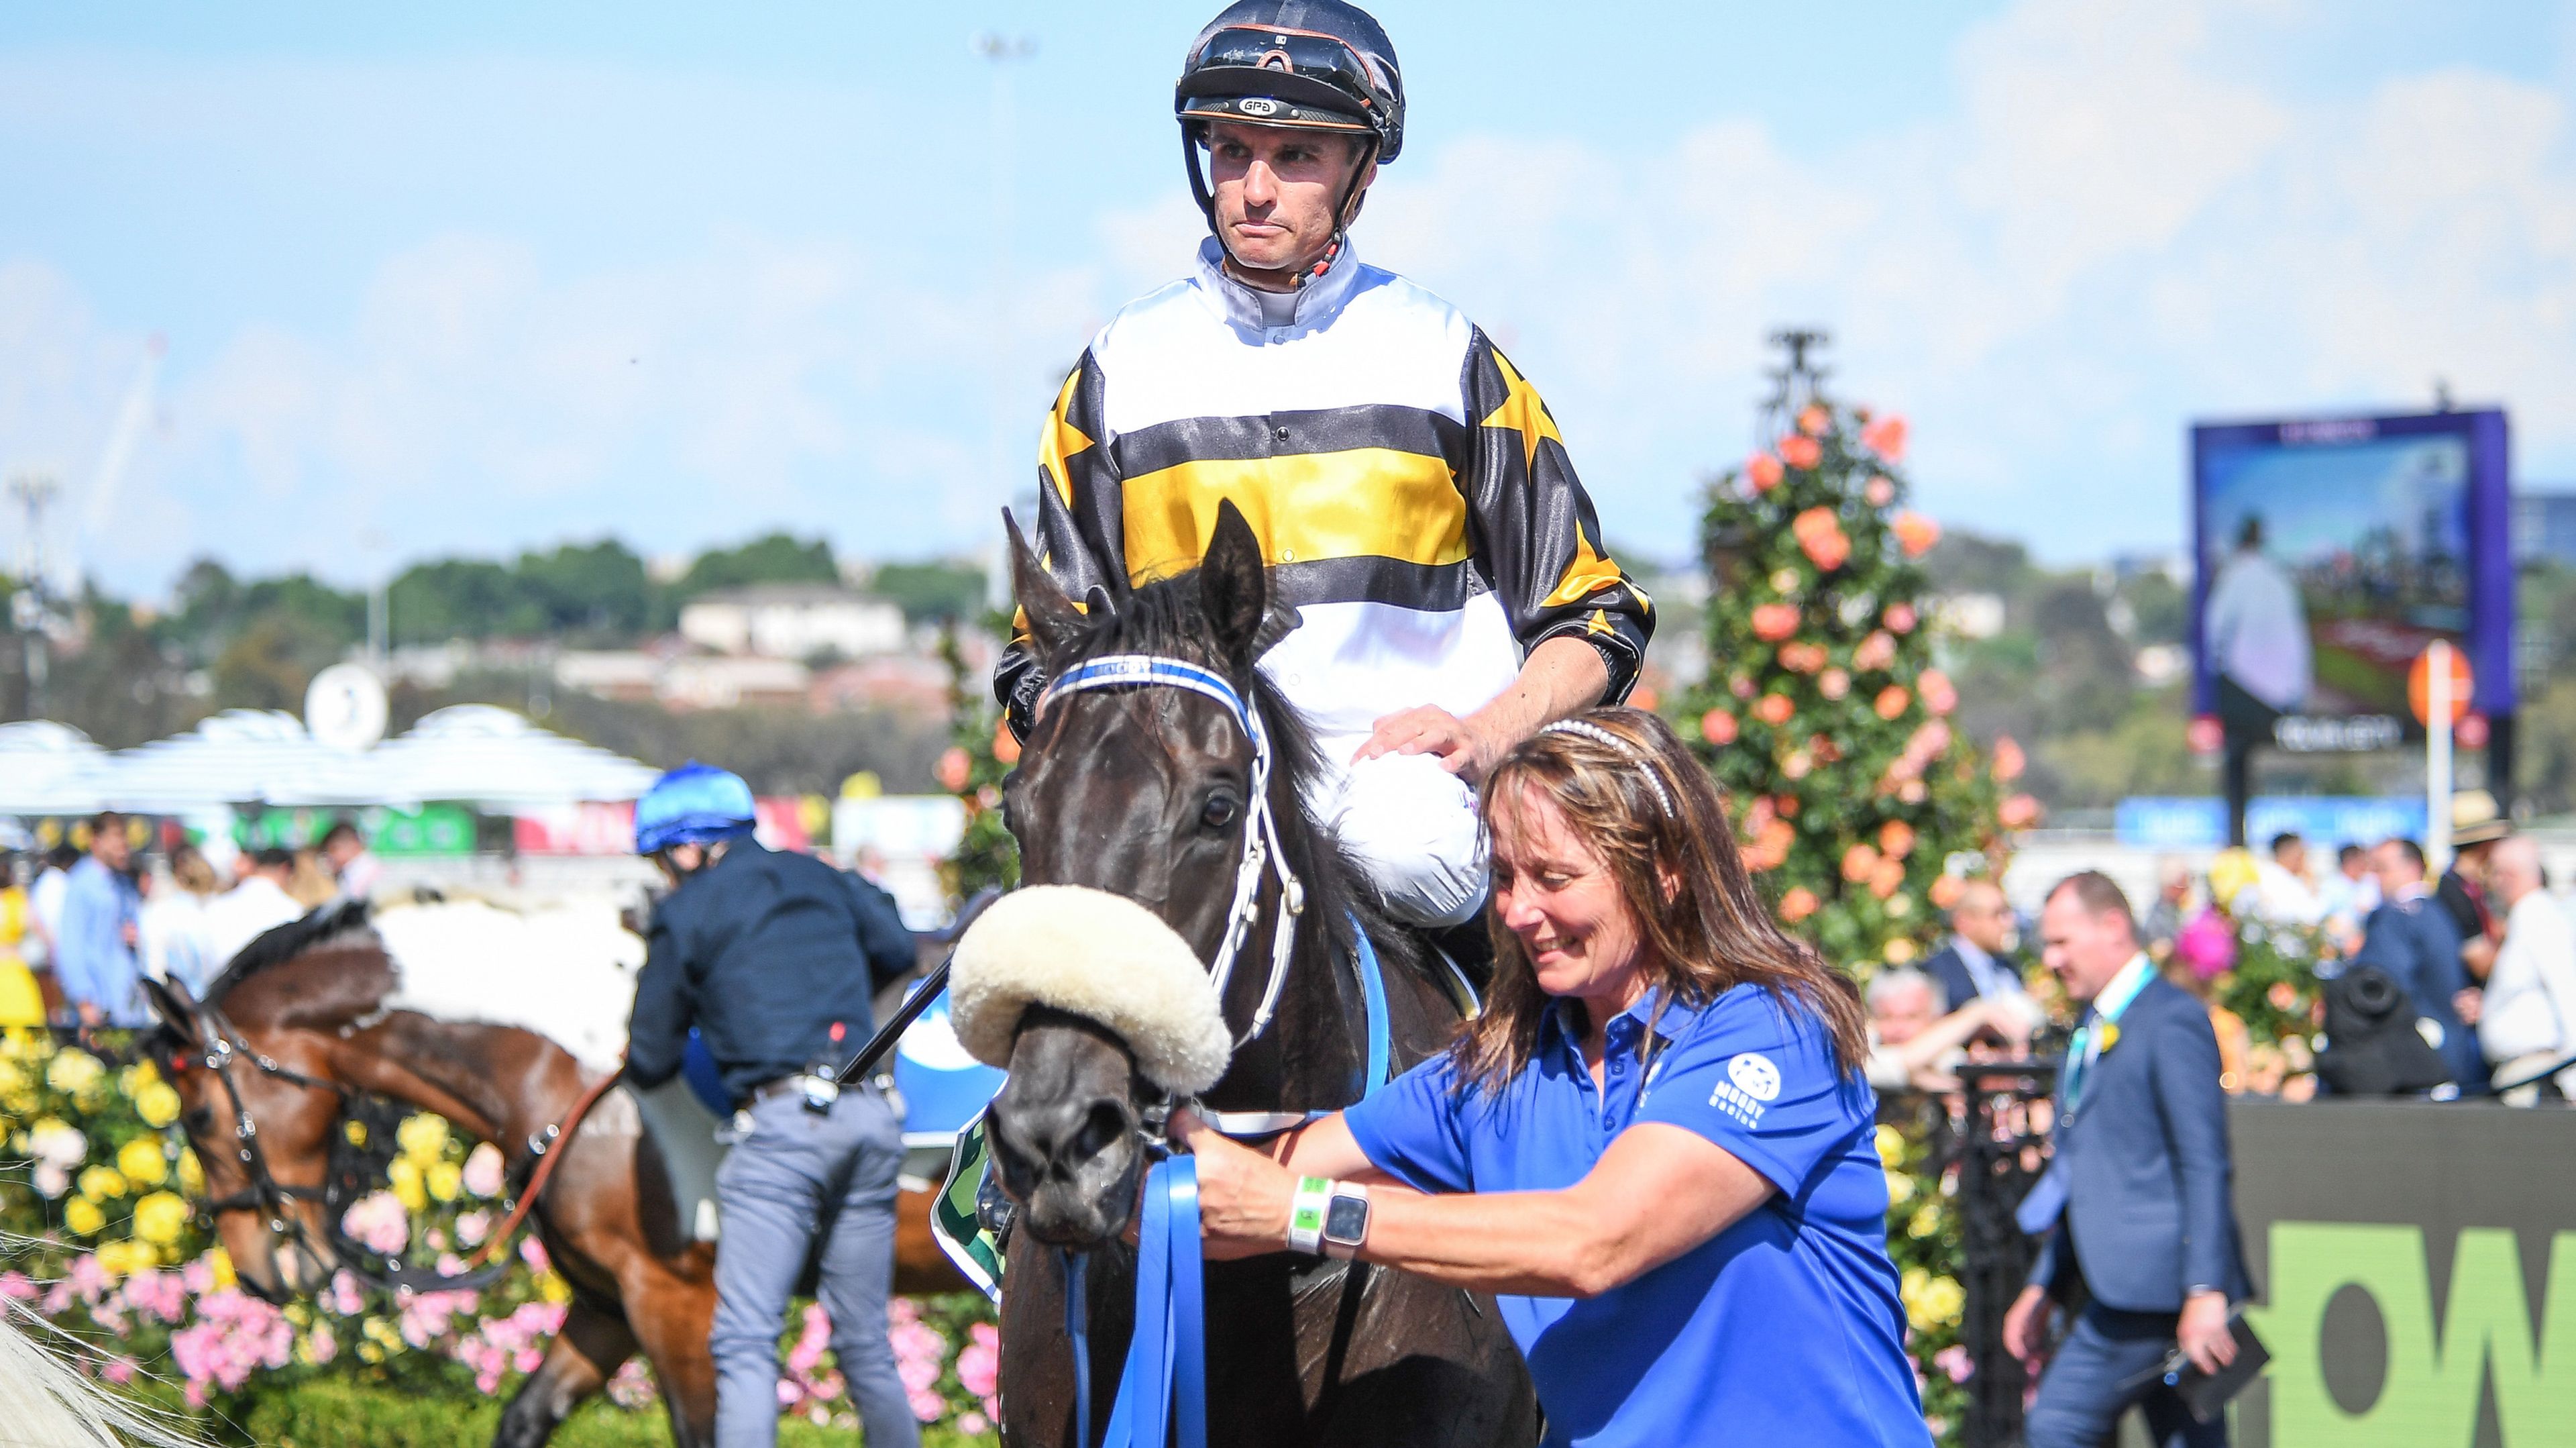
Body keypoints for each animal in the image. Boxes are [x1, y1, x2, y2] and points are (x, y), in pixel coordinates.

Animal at [150, 901, 968, 1443]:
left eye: (199, 1117)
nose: (259, 1272)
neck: (585, 1070)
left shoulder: (675, 1297)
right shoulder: (607, 1305)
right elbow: (524, 1418)